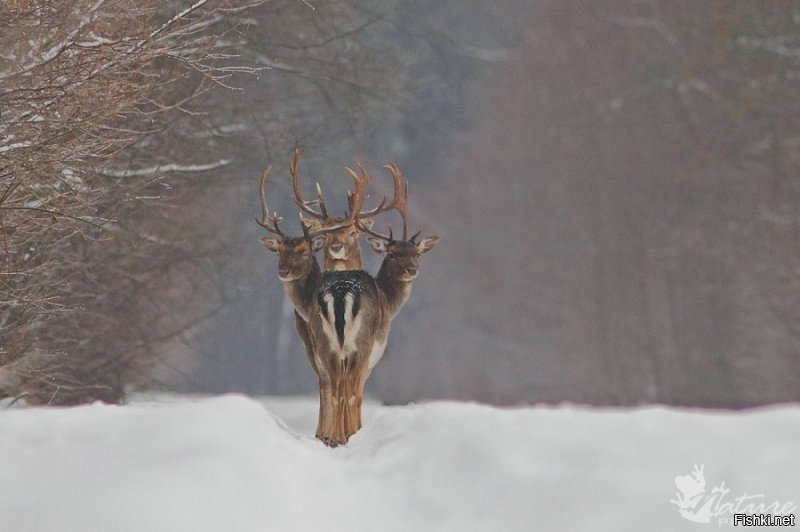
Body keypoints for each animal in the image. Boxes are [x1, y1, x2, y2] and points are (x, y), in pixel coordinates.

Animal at [306, 163, 440, 444]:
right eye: (393, 254)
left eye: (416, 253)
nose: (412, 270)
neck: (388, 300)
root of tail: (340, 294)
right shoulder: (373, 353)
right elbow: (357, 393)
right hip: (360, 344)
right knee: (349, 391)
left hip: (325, 345)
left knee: (333, 387)